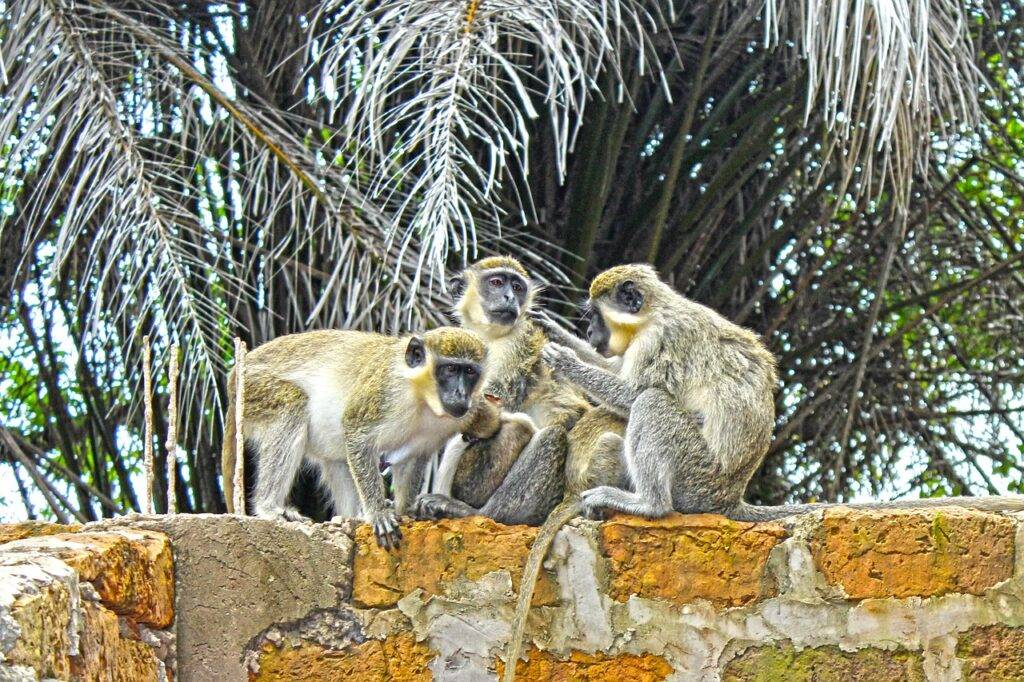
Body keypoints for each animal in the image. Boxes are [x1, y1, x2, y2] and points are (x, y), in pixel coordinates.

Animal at [219, 327, 487, 544]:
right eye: (450, 369)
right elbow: (357, 433)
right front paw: (378, 513)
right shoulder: (384, 391)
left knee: (337, 461)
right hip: (253, 389)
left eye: (470, 372)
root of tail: (235, 376)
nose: (461, 393)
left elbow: (412, 459)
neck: (421, 398)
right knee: (291, 404)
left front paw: (406, 511)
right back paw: (269, 507)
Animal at [501, 261, 1024, 675]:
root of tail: (729, 495)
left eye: (595, 316)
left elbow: (633, 393)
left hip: (696, 474)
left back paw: (647, 503)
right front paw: (560, 337)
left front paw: (566, 358)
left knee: (651, 404)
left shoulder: (661, 341)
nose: (590, 333)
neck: (655, 312)